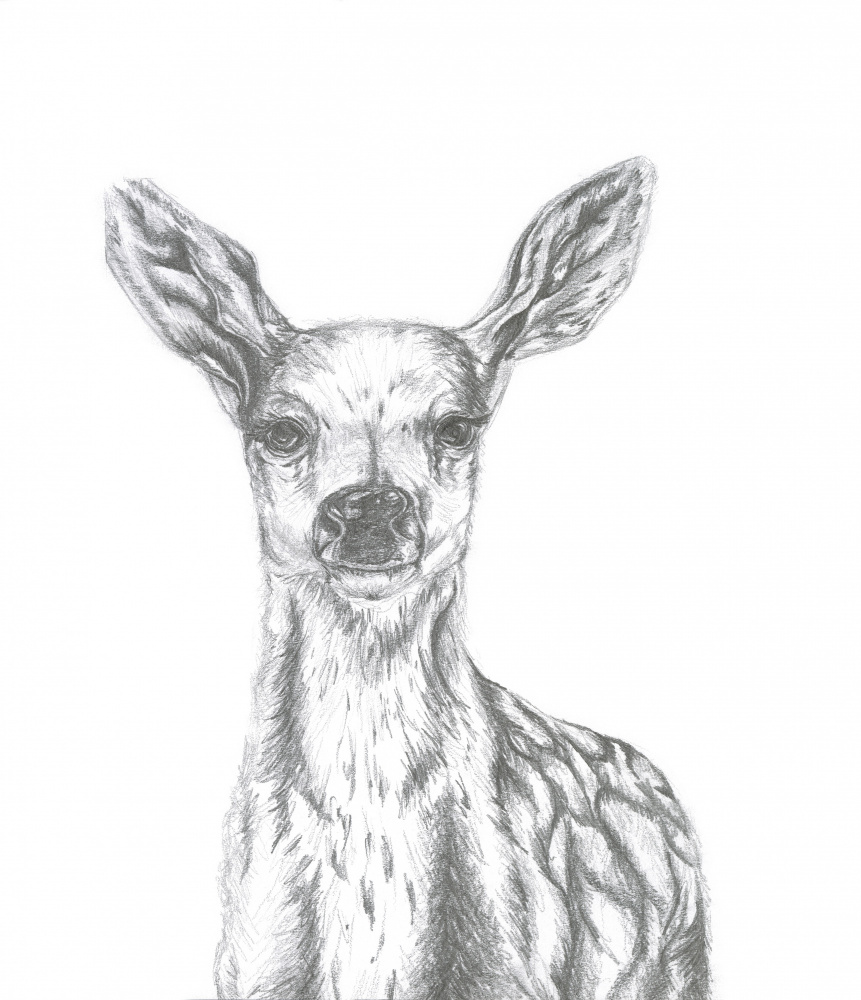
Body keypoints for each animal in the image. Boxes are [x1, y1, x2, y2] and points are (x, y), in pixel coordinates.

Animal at [105, 158, 709, 1000]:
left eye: (456, 425)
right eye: (280, 430)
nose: (368, 508)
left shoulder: (507, 969)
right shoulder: (258, 967)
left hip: (673, 965)